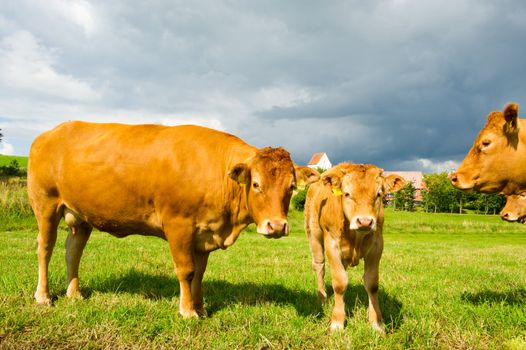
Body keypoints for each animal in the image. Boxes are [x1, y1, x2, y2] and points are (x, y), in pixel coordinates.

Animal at [27, 121, 322, 318]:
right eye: (257, 184)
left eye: (291, 187)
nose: (277, 226)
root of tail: (50, 133)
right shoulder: (178, 225)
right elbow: (186, 270)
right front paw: (187, 311)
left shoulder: (205, 232)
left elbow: (200, 273)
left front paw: (200, 307)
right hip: (46, 205)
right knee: (45, 249)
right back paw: (43, 296)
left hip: (81, 216)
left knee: (72, 252)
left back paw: (74, 293)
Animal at [304, 163, 406, 332]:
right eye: (347, 194)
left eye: (379, 194)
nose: (364, 221)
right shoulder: (332, 245)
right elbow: (340, 283)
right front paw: (337, 322)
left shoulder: (377, 246)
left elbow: (372, 284)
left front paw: (376, 324)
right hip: (313, 234)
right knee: (319, 266)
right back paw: (323, 298)